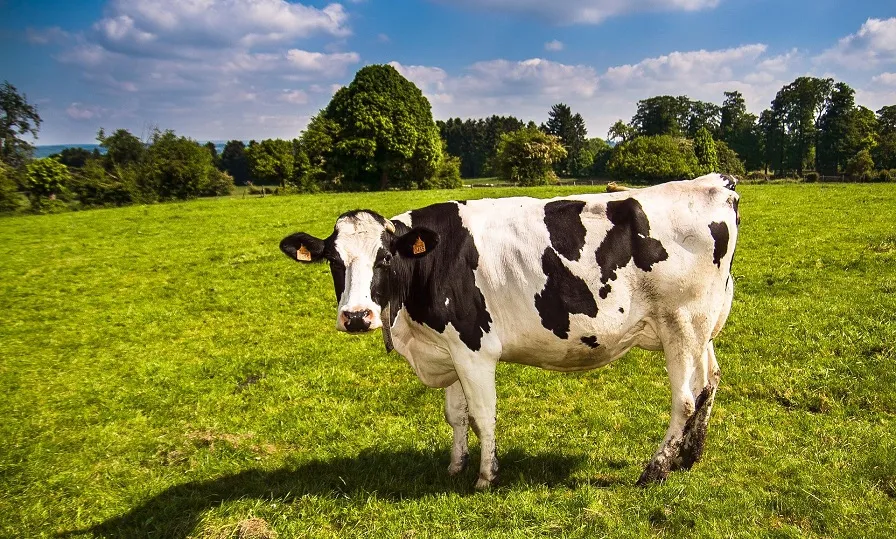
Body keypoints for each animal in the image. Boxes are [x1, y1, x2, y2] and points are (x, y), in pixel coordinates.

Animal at [279, 173, 739, 489]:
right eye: (334, 261)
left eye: (385, 258)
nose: (357, 316)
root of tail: (714, 183)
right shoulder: (448, 347)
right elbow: (456, 415)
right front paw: (455, 465)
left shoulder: (473, 348)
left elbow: (483, 414)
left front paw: (486, 476)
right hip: (701, 328)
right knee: (710, 382)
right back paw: (689, 456)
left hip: (681, 324)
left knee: (685, 399)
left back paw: (656, 469)